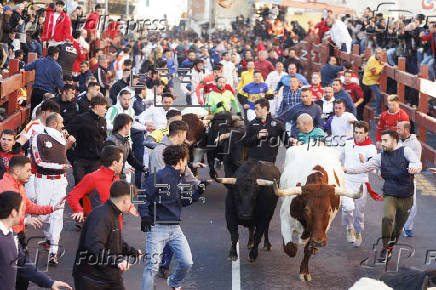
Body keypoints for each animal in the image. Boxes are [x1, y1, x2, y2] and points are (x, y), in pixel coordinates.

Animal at [278, 147, 362, 280]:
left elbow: (308, 250)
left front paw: (304, 272)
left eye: (329, 210)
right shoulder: (285, 219)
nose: (319, 241)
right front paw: (294, 247)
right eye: (307, 209)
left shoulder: (323, 229)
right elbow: (289, 248)